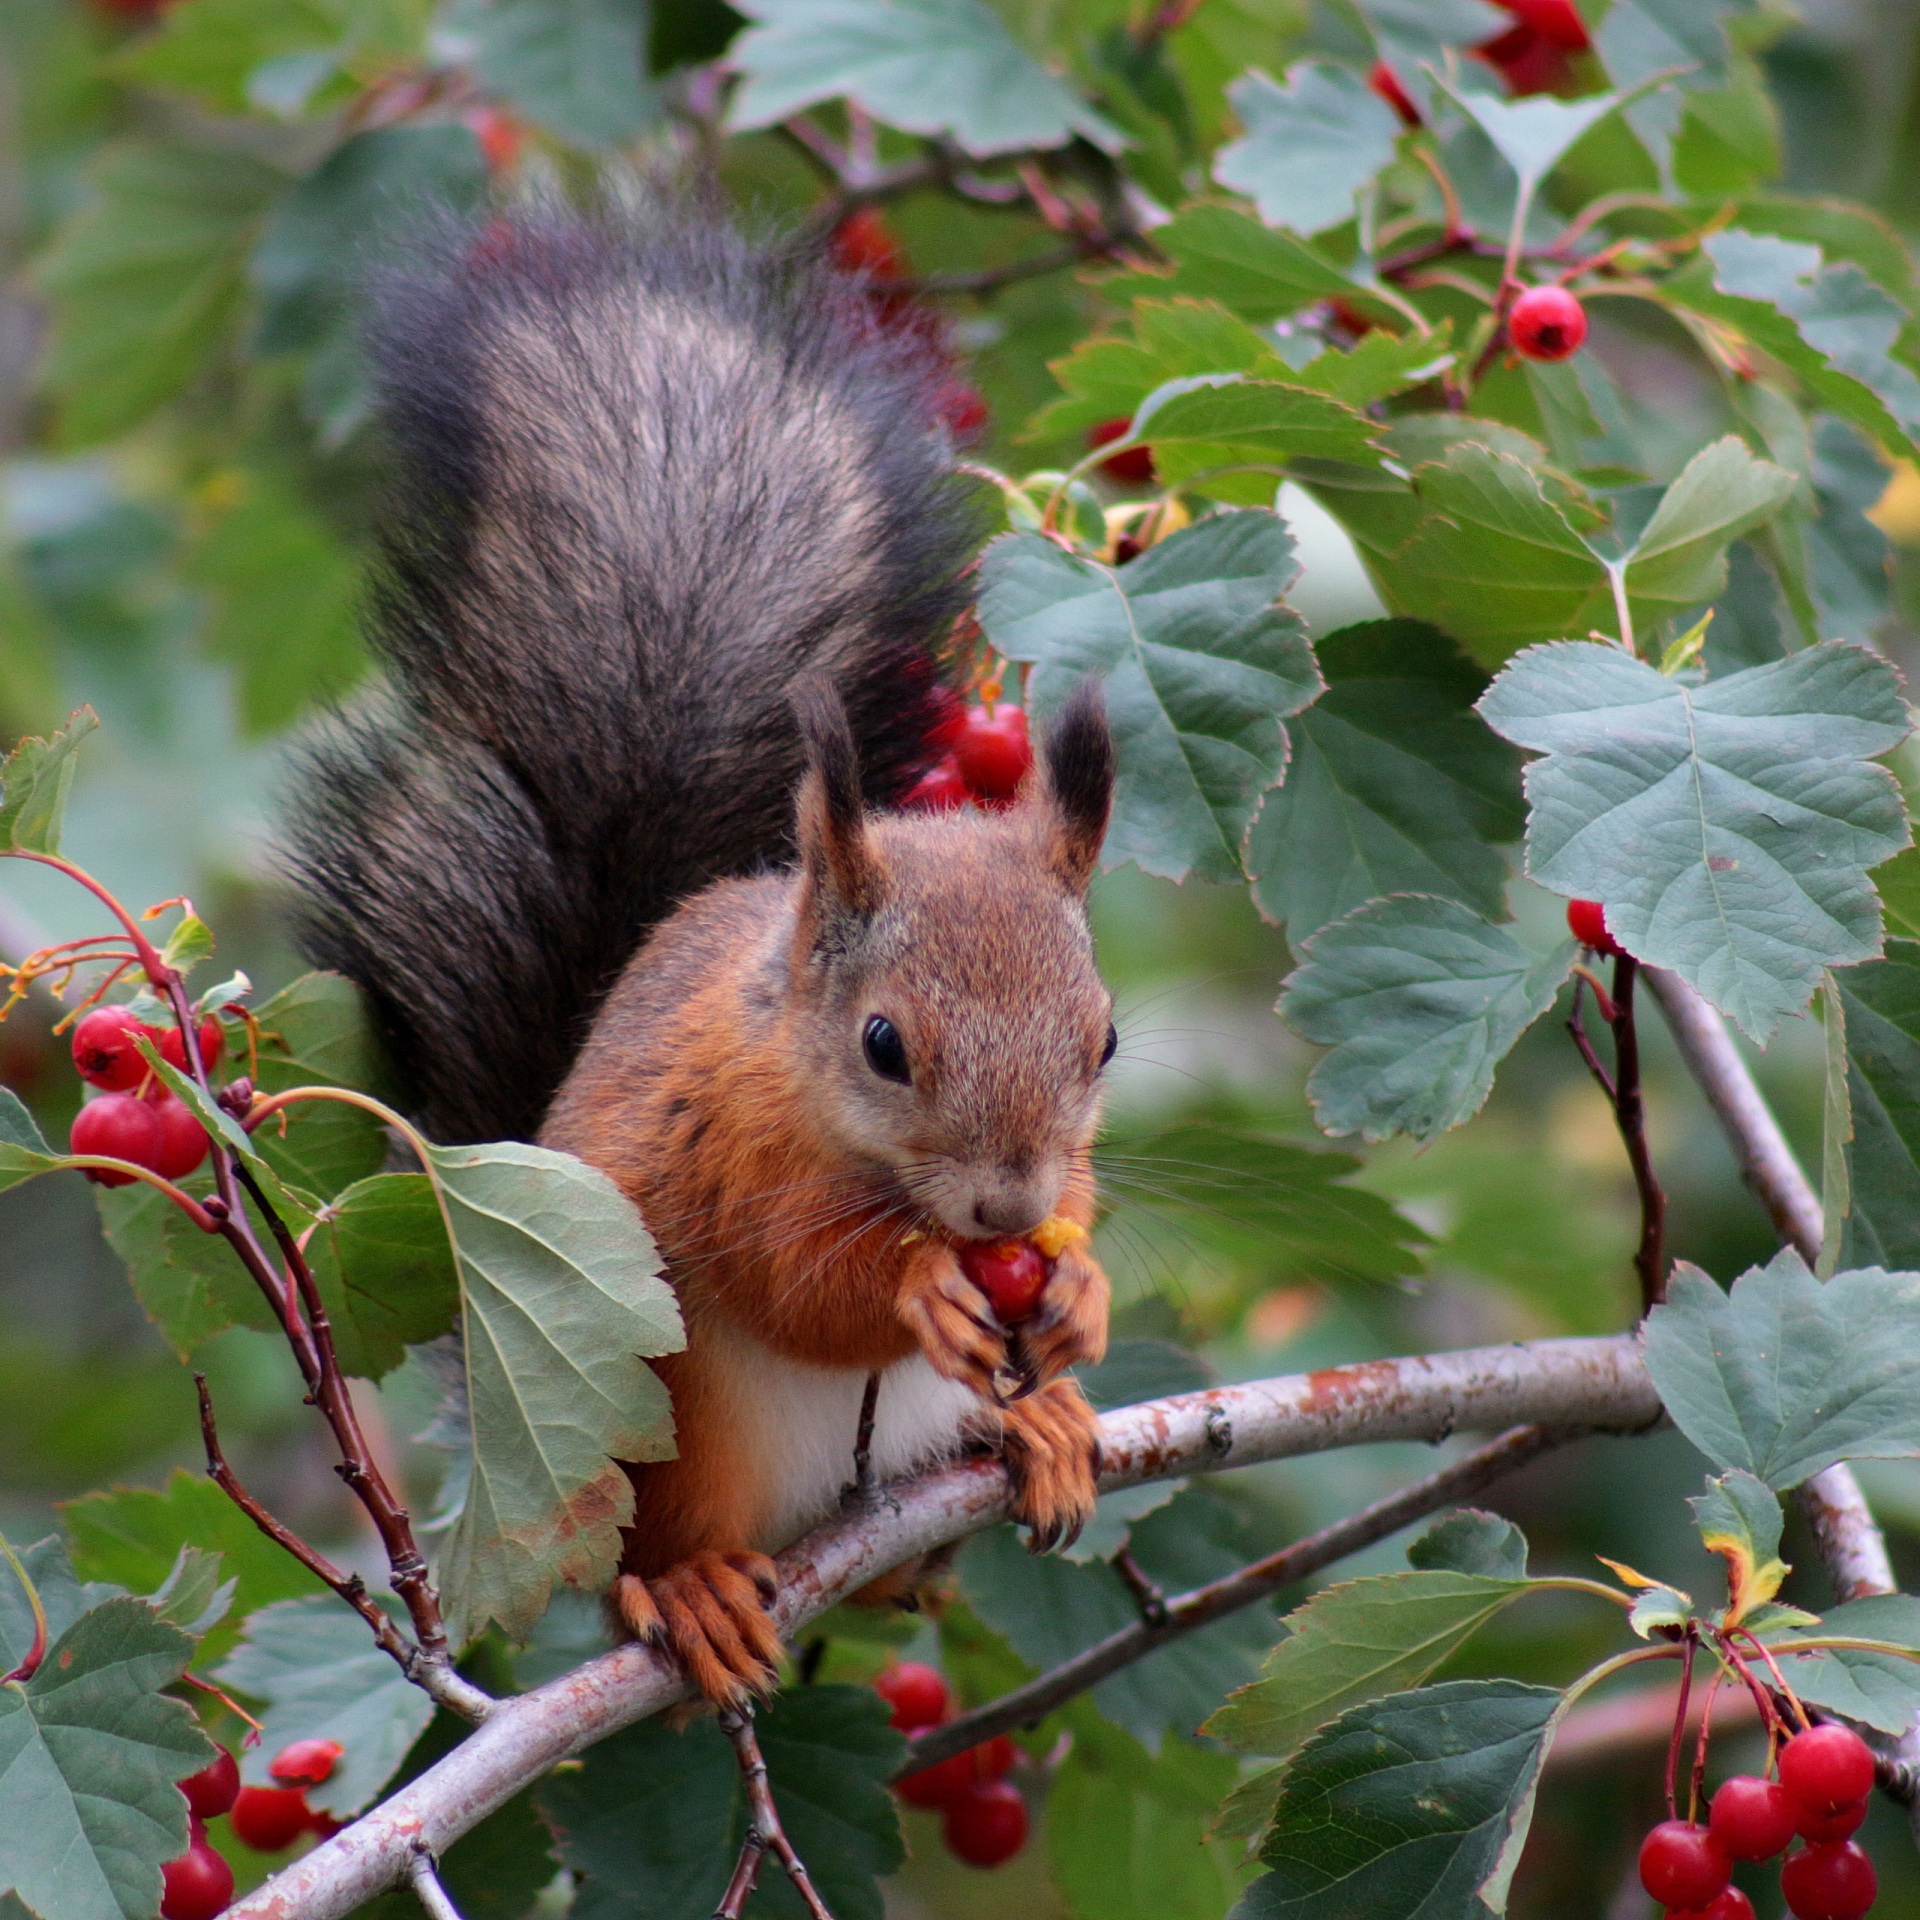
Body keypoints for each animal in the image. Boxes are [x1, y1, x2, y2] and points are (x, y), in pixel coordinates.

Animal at [289, 214, 1121, 1712]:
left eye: (1105, 1041)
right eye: (885, 1045)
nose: (1005, 1207)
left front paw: (1076, 1287)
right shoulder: (720, 1140)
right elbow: (796, 1284)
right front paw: (914, 1286)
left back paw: (1040, 1432)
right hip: (672, 1423)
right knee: (655, 1551)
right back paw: (688, 1593)